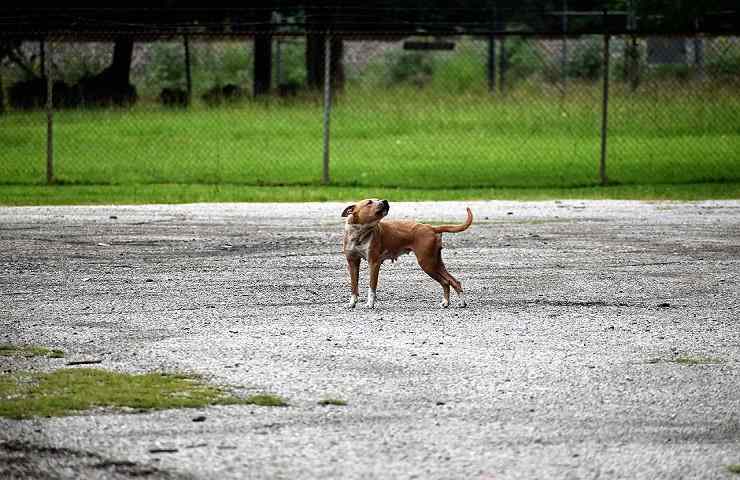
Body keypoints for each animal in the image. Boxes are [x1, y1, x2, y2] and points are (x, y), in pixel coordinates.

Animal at [342, 200, 474, 310]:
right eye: (369, 202)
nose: (385, 201)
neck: (360, 234)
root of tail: (431, 227)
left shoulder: (374, 263)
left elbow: (372, 287)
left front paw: (370, 304)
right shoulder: (352, 263)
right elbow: (354, 286)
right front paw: (352, 303)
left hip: (427, 263)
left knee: (448, 281)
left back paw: (459, 303)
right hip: (435, 262)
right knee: (450, 281)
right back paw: (449, 302)